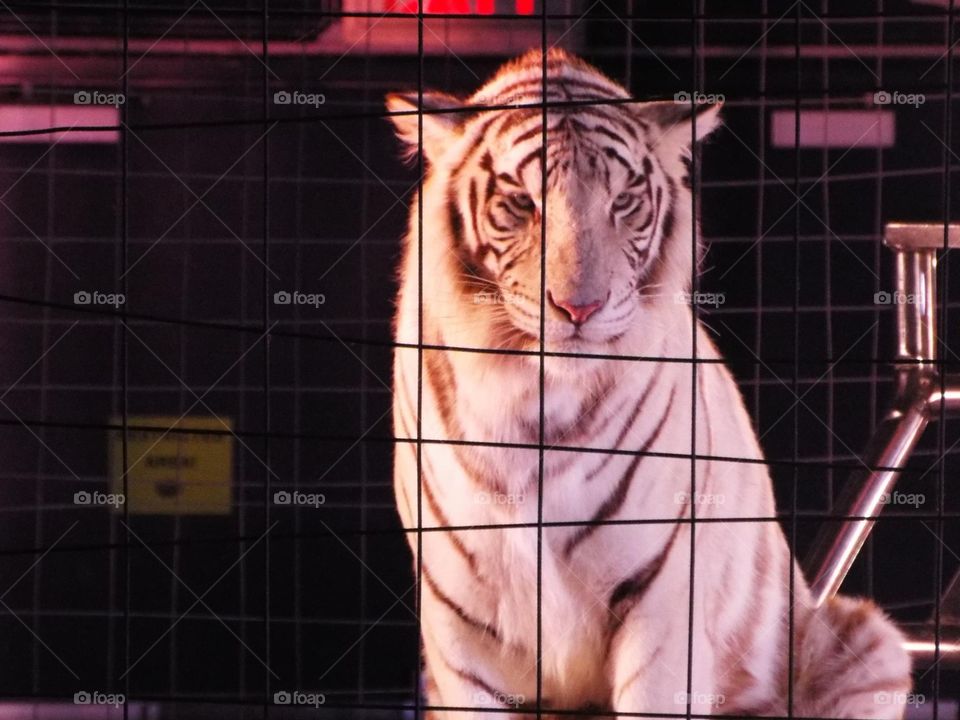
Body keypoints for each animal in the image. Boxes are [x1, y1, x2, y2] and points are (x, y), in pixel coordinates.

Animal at [387, 48, 911, 719]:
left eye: (624, 202)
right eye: (523, 204)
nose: (579, 307)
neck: (536, 401)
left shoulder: (662, 598)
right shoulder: (460, 628)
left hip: (870, 641)